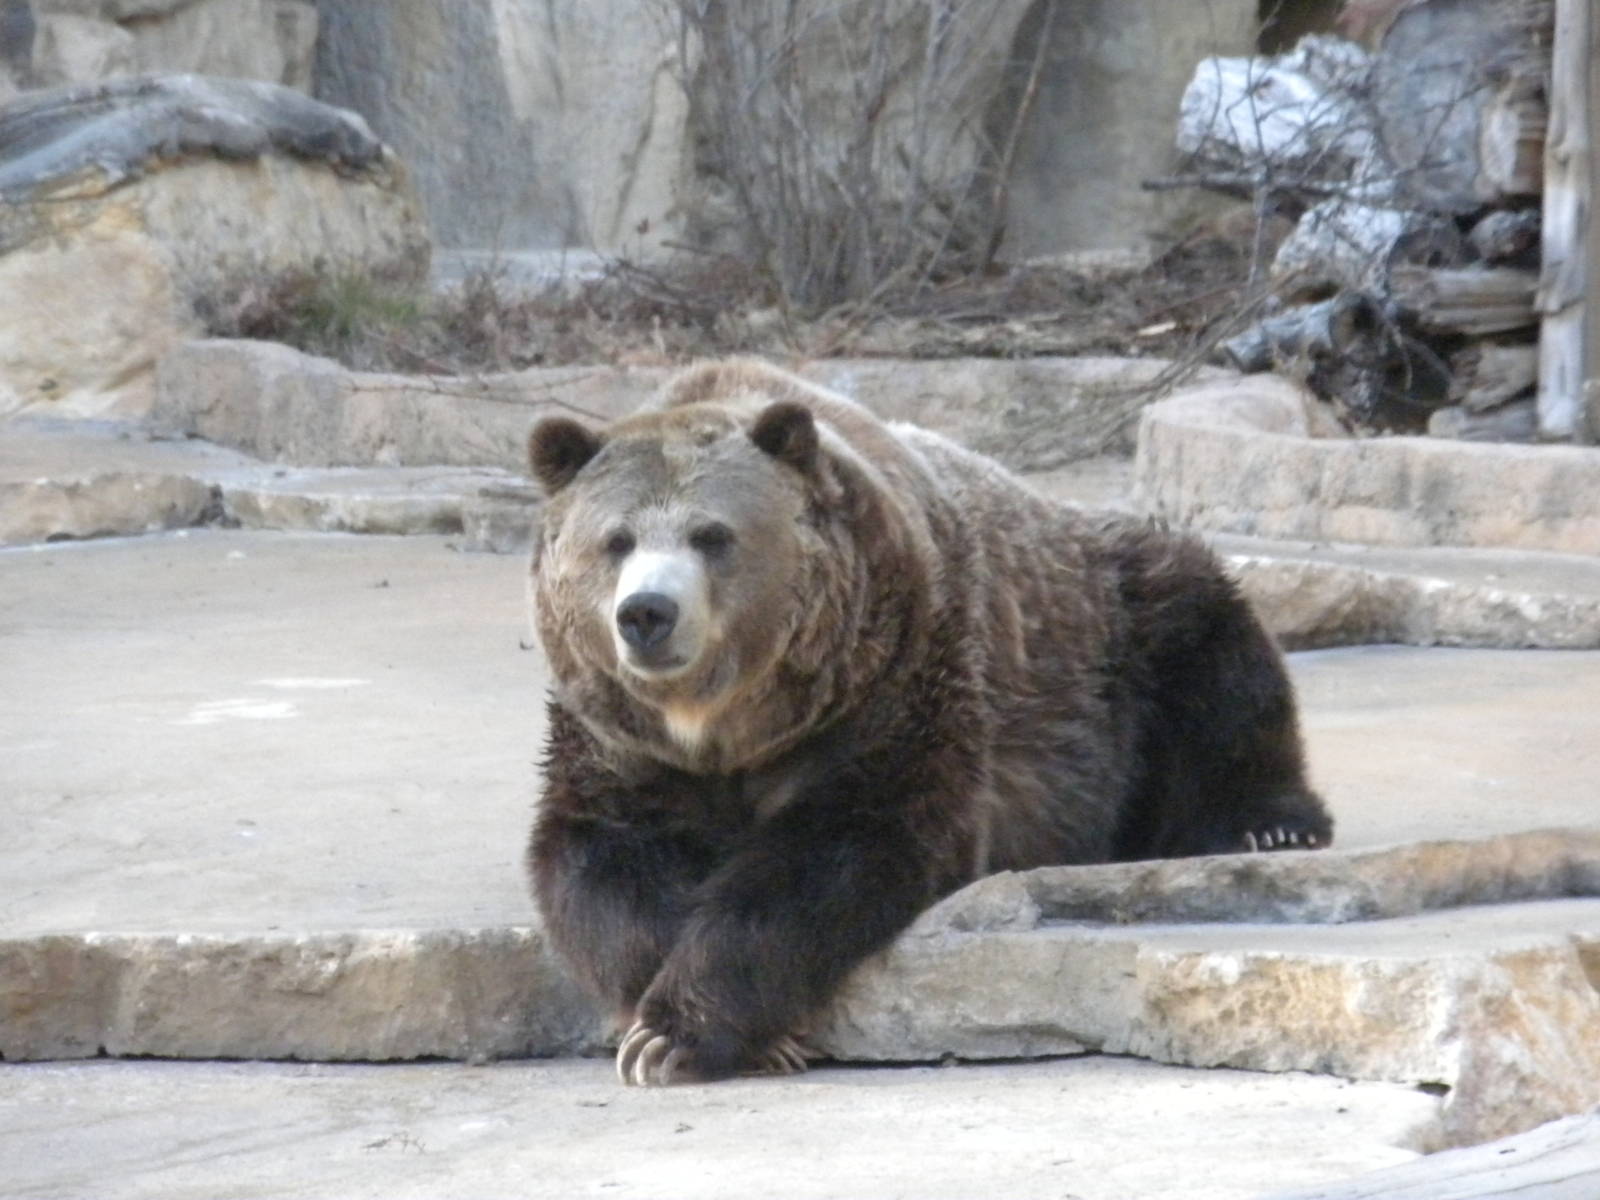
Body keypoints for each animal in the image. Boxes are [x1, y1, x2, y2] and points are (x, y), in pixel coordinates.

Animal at [525, 358, 1332, 1087]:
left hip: (1116, 631)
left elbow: (848, 845)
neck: (724, 725)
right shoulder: (617, 741)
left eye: (712, 535)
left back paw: (1272, 823)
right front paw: (657, 1022)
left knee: (1209, 642)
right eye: (616, 540)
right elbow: (603, 862)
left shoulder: (890, 683)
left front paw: (688, 1034)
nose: (647, 613)